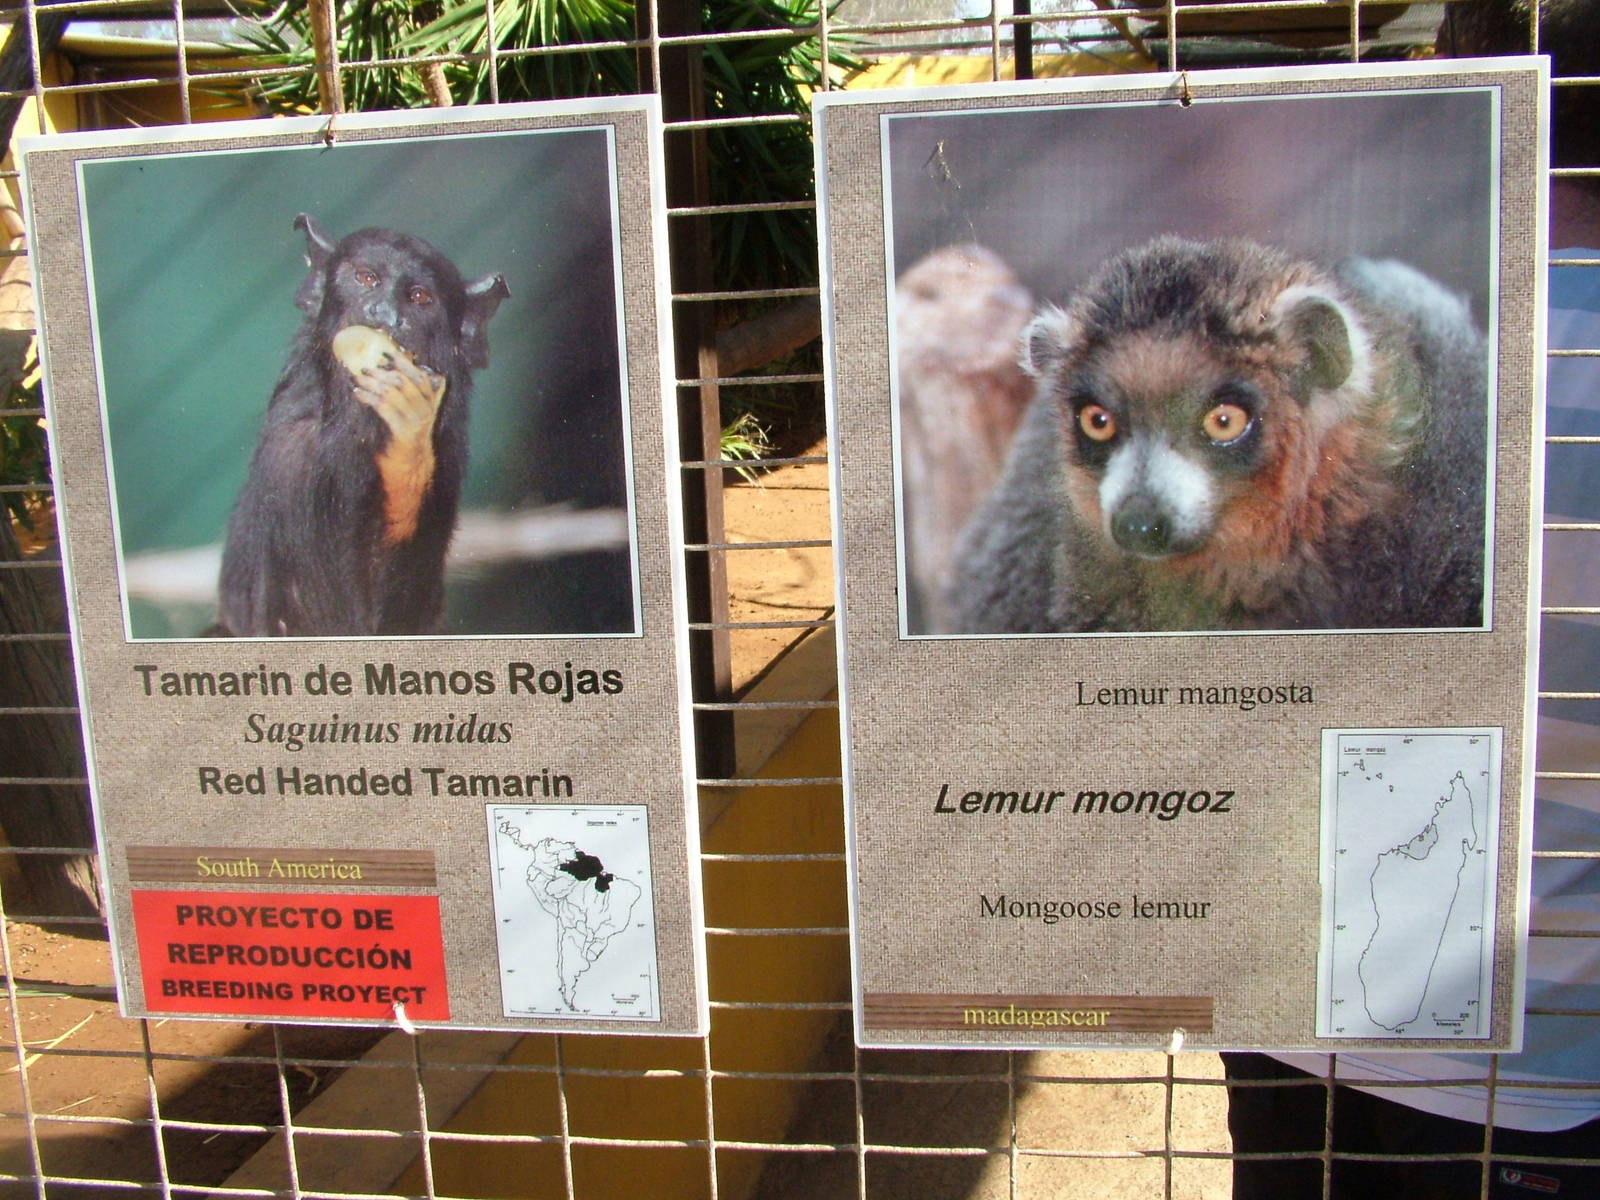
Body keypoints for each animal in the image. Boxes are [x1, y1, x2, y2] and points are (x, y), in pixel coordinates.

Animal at [215, 215, 508, 637]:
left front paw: (407, 445)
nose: (384, 314)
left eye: (418, 297)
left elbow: (399, 614)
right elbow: (325, 602)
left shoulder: (450, 452)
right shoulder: (291, 443)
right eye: (367, 278)